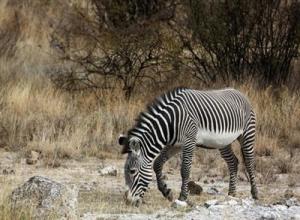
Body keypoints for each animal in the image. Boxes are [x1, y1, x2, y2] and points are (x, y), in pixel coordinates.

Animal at [119, 87, 258, 206]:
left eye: (132, 171)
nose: (127, 201)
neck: (171, 122)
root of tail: (240, 92)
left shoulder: (189, 142)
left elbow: (185, 170)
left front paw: (183, 197)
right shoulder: (175, 145)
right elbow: (157, 164)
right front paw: (166, 192)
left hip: (247, 134)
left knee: (249, 162)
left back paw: (255, 193)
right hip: (223, 142)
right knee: (233, 162)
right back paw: (232, 193)